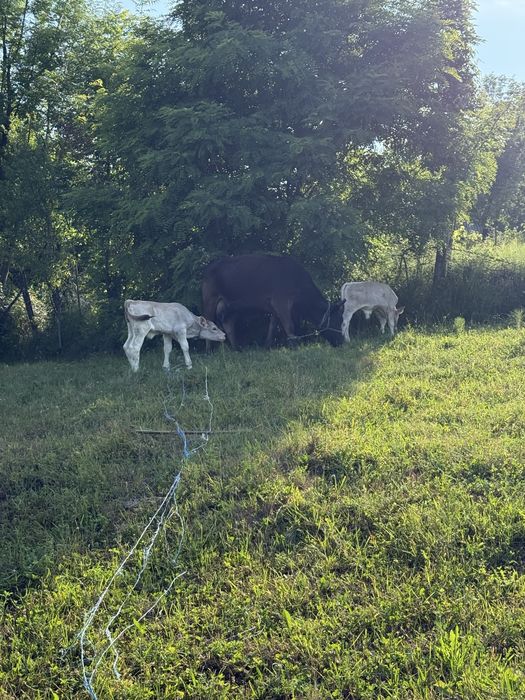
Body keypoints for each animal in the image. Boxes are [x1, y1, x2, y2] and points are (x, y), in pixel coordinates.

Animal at [201, 254, 345, 349]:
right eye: (338, 321)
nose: (342, 341)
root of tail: (208, 268)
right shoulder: (281, 302)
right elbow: (289, 325)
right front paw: (294, 346)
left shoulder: (275, 307)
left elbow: (272, 326)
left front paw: (267, 345)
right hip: (210, 299)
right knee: (208, 321)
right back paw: (209, 350)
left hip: (230, 305)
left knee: (228, 322)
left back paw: (237, 348)